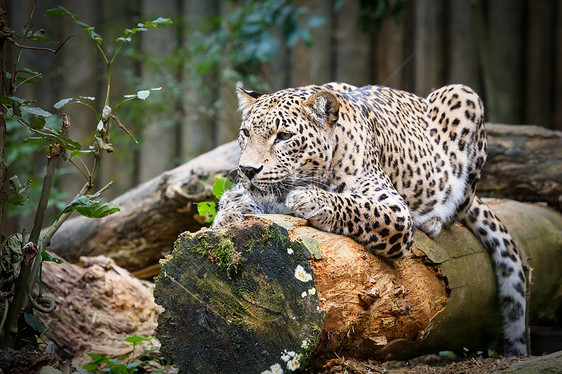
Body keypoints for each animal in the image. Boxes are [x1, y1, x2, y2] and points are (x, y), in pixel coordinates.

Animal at [212, 82, 528, 356]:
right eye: (245, 132)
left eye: (284, 136)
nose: (247, 169)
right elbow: (232, 200)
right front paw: (231, 210)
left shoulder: (395, 212)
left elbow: (358, 206)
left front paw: (311, 200)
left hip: (463, 97)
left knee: (460, 204)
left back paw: (434, 218)